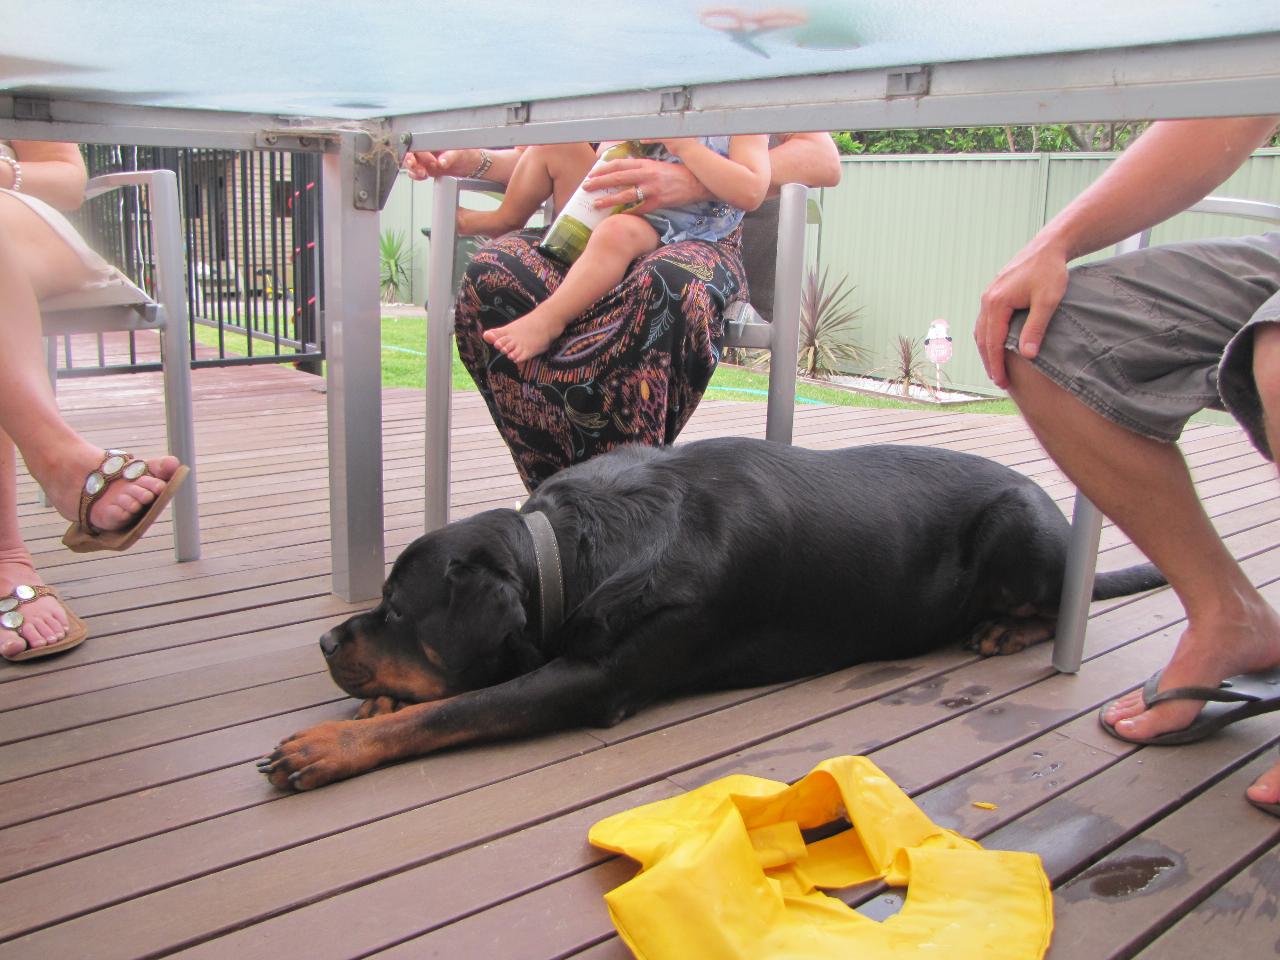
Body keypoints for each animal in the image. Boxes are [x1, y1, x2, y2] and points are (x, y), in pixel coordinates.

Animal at [257, 440, 1162, 793]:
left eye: (396, 607)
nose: (327, 637)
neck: (576, 552)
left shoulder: (594, 679)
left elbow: (463, 707)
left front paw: (329, 744)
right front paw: (375, 700)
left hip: (1020, 524)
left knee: (1054, 601)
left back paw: (1009, 627)